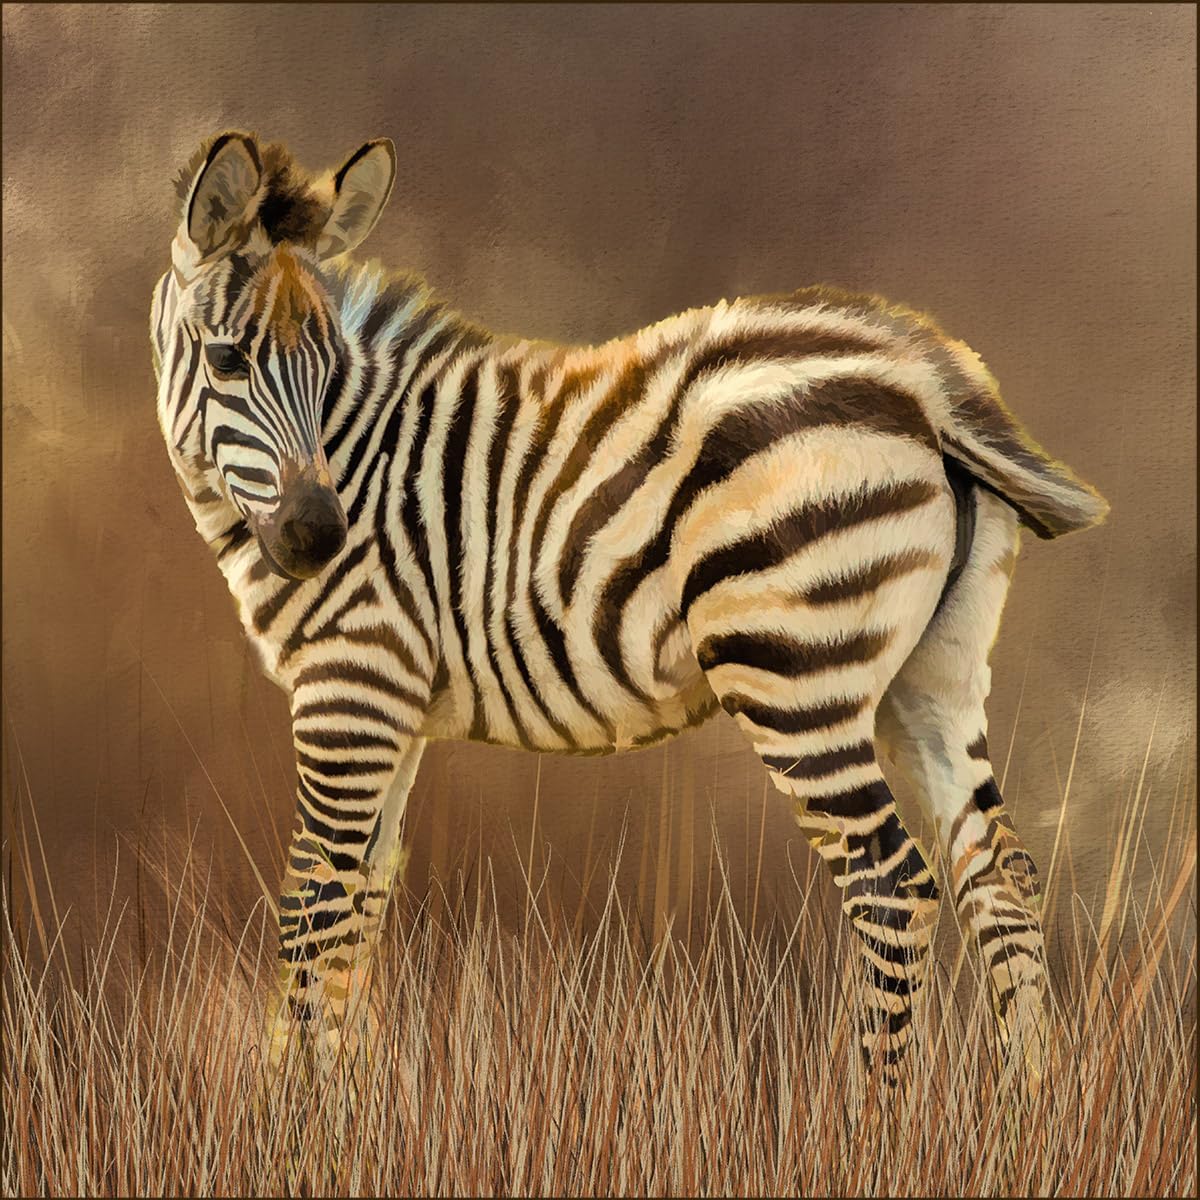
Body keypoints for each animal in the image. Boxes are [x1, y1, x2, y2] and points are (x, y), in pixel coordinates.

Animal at [151, 130, 1108, 1090]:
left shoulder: (349, 686)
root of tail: (920, 377)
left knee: (890, 884)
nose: (317, 538)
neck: (359, 452)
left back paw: (874, 1117)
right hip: (935, 674)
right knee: (1000, 875)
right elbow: (359, 907)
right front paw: (346, 1098)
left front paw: (294, 1108)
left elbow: (313, 905)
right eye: (229, 361)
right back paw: (1026, 1105)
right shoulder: (391, 711)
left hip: (794, 668)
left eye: (329, 369)